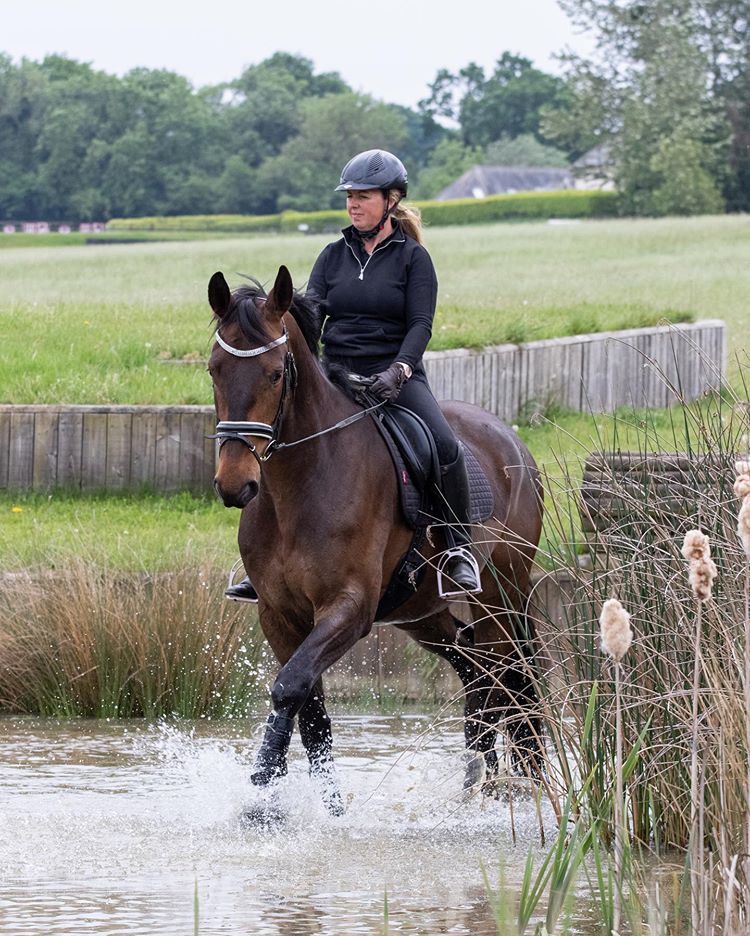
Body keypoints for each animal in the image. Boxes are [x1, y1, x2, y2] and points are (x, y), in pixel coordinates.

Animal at [207, 265, 544, 813]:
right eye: (215, 370)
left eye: (276, 373)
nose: (236, 485)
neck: (301, 485)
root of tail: (510, 437)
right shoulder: (278, 613)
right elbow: (311, 710)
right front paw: (326, 809)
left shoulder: (348, 608)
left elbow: (289, 688)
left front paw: (261, 798)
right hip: (421, 611)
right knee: (475, 667)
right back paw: (476, 779)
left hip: (501, 593)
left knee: (506, 671)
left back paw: (515, 781)